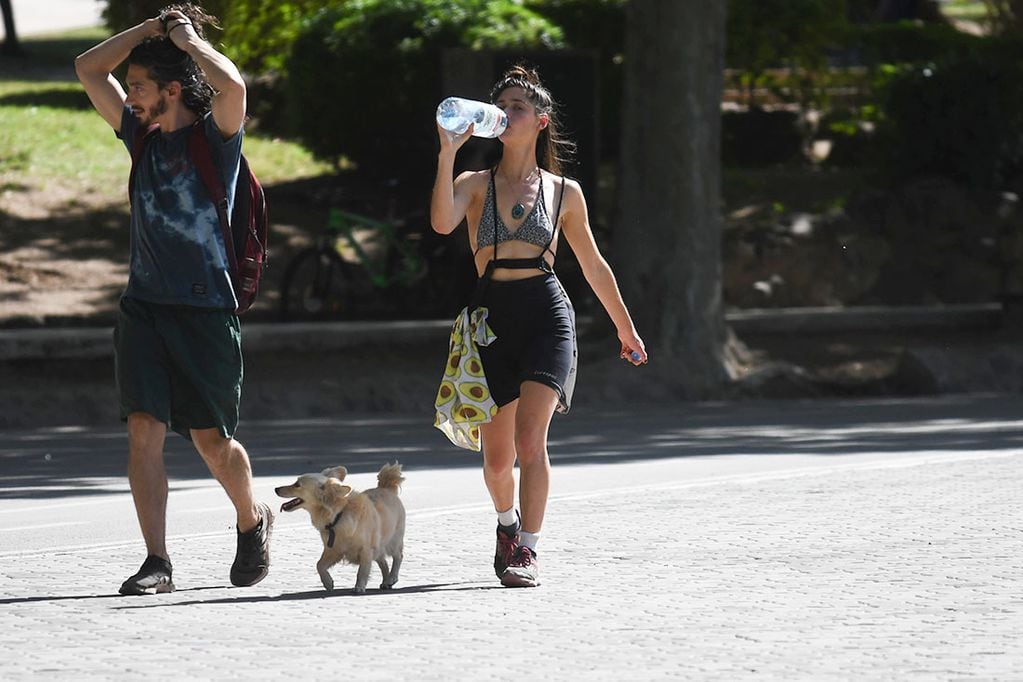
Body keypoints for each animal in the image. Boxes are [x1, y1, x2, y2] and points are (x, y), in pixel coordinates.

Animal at [280, 462, 407, 593]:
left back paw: (392, 578)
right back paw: (386, 582)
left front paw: (359, 587)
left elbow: (362, 571)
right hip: (378, 548)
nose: (276, 489)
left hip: (393, 542)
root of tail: (386, 488)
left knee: (398, 556)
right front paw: (328, 582)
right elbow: (319, 565)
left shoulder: (366, 550)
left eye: (297, 485)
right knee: (383, 562)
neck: (338, 515)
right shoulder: (334, 550)